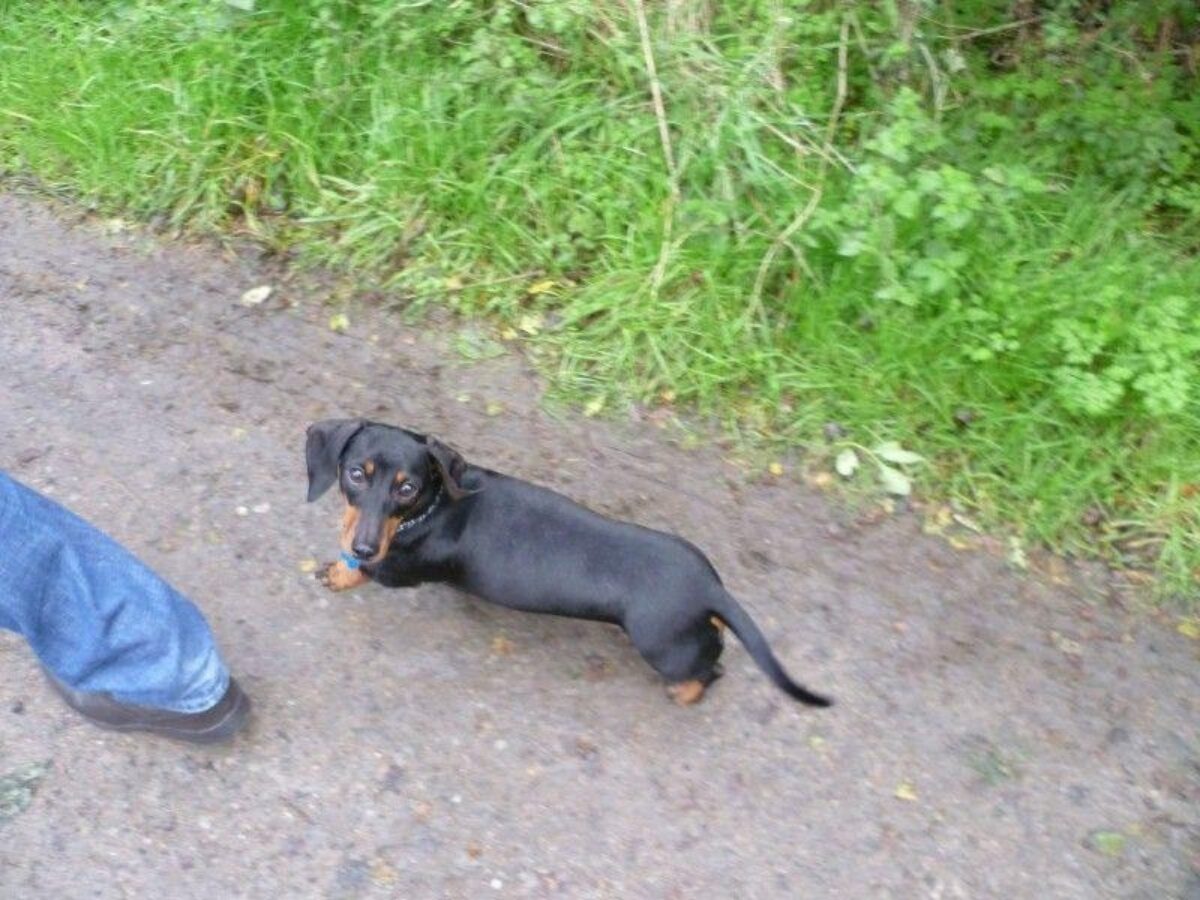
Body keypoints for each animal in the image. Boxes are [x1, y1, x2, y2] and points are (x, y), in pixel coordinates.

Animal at [309, 420, 830, 710]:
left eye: (407, 487)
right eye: (356, 474)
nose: (364, 546)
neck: (435, 508)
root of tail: (710, 588)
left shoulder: (395, 570)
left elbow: (362, 573)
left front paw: (340, 571)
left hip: (663, 647)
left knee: (711, 669)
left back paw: (685, 692)